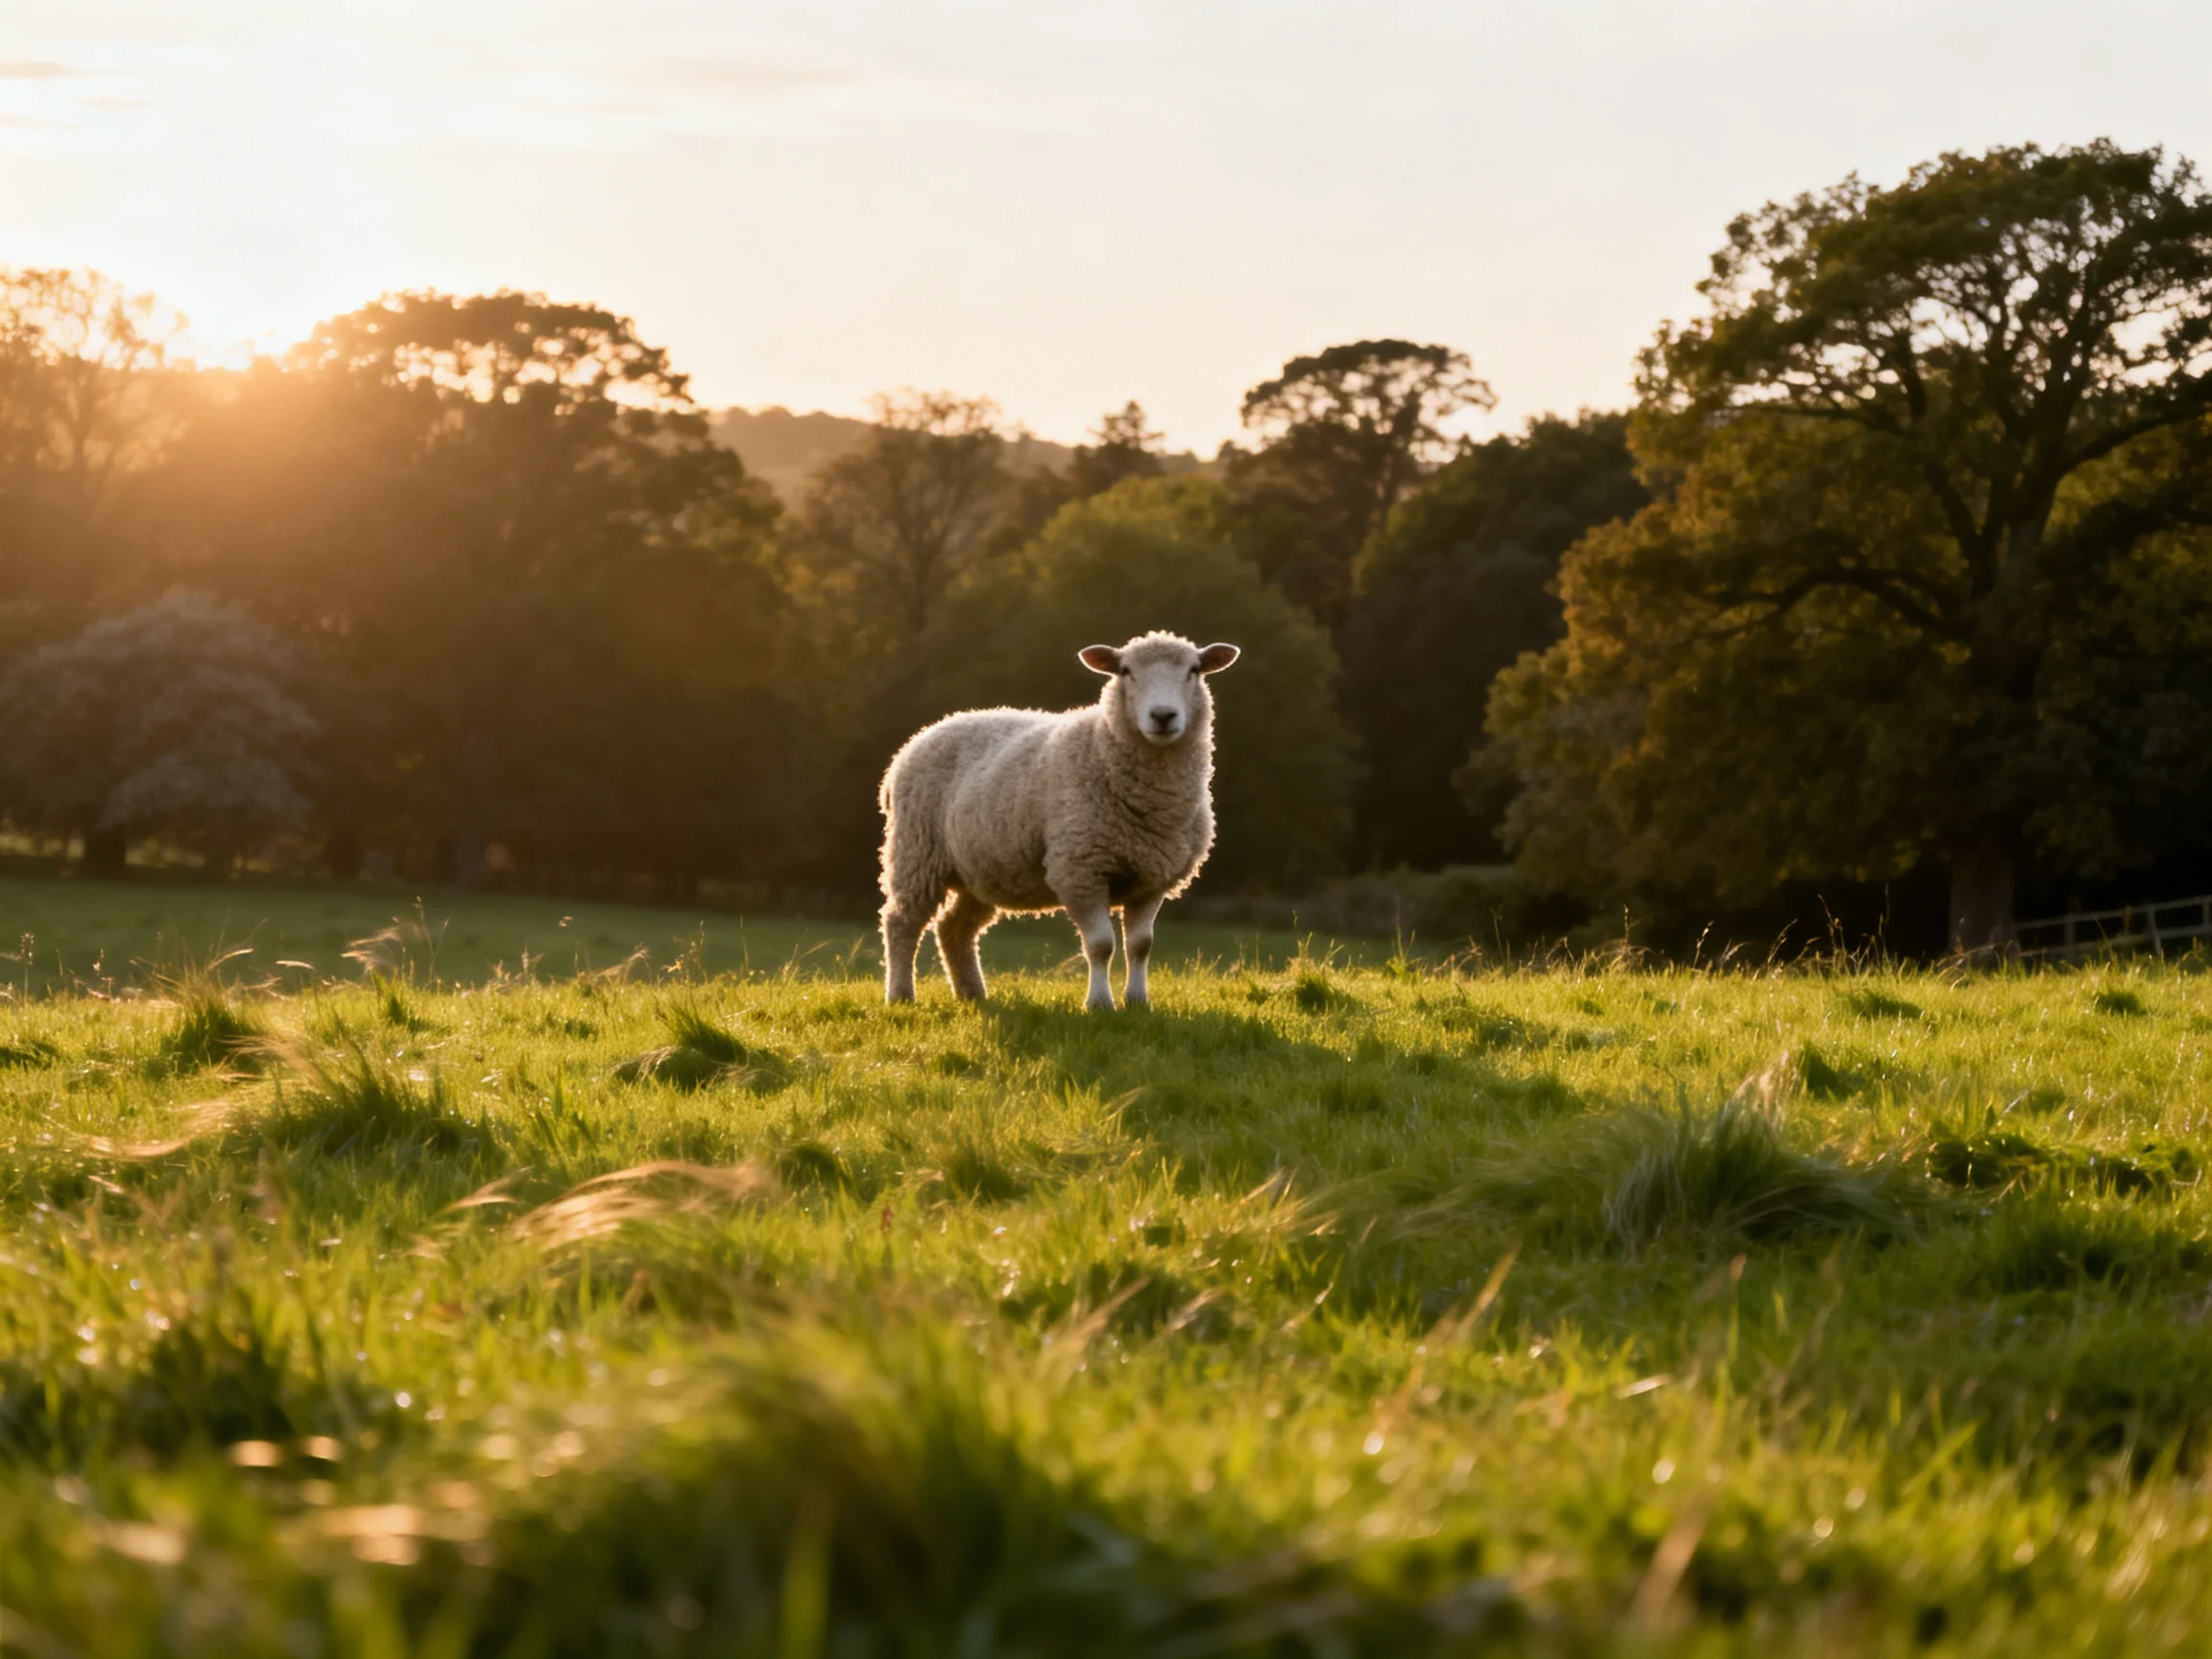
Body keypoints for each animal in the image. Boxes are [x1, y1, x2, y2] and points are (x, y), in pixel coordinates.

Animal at [877, 631, 1241, 1010]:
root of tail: (921, 736)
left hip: (979, 868)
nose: (1163, 716)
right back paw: (900, 995)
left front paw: (1138, 1002)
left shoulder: (1151, 877)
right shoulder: (1081, 869)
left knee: (954, 928)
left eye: (1194, 670)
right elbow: (1101, 945)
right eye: (1126, 671)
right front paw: (1099, 1004)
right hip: (916, 853)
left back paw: (972, 994)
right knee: (901, 923)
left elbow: (1140, 946)